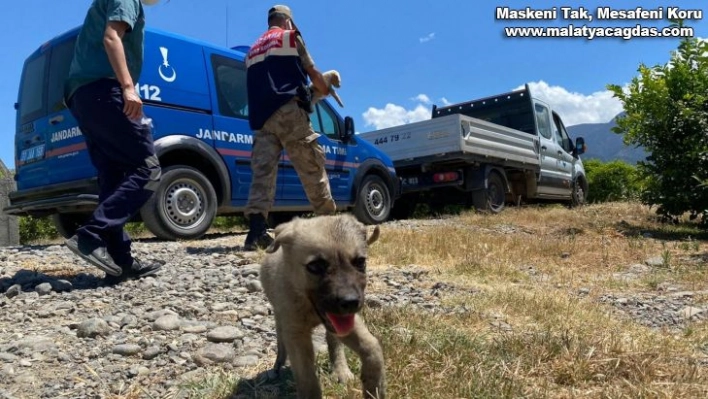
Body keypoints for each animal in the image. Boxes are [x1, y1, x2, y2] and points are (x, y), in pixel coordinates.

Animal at [260, 216, 384, 399]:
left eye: (360, 262)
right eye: (315, 266)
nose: (350, 302)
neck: (309, 306)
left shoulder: (348, 322)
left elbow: (372, 347)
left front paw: (374, 387)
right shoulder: (295, 334)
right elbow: (307, 379)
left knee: (334, 343)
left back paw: (341, 370)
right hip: (279, 317)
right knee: (281, 341)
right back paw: (277, 366)